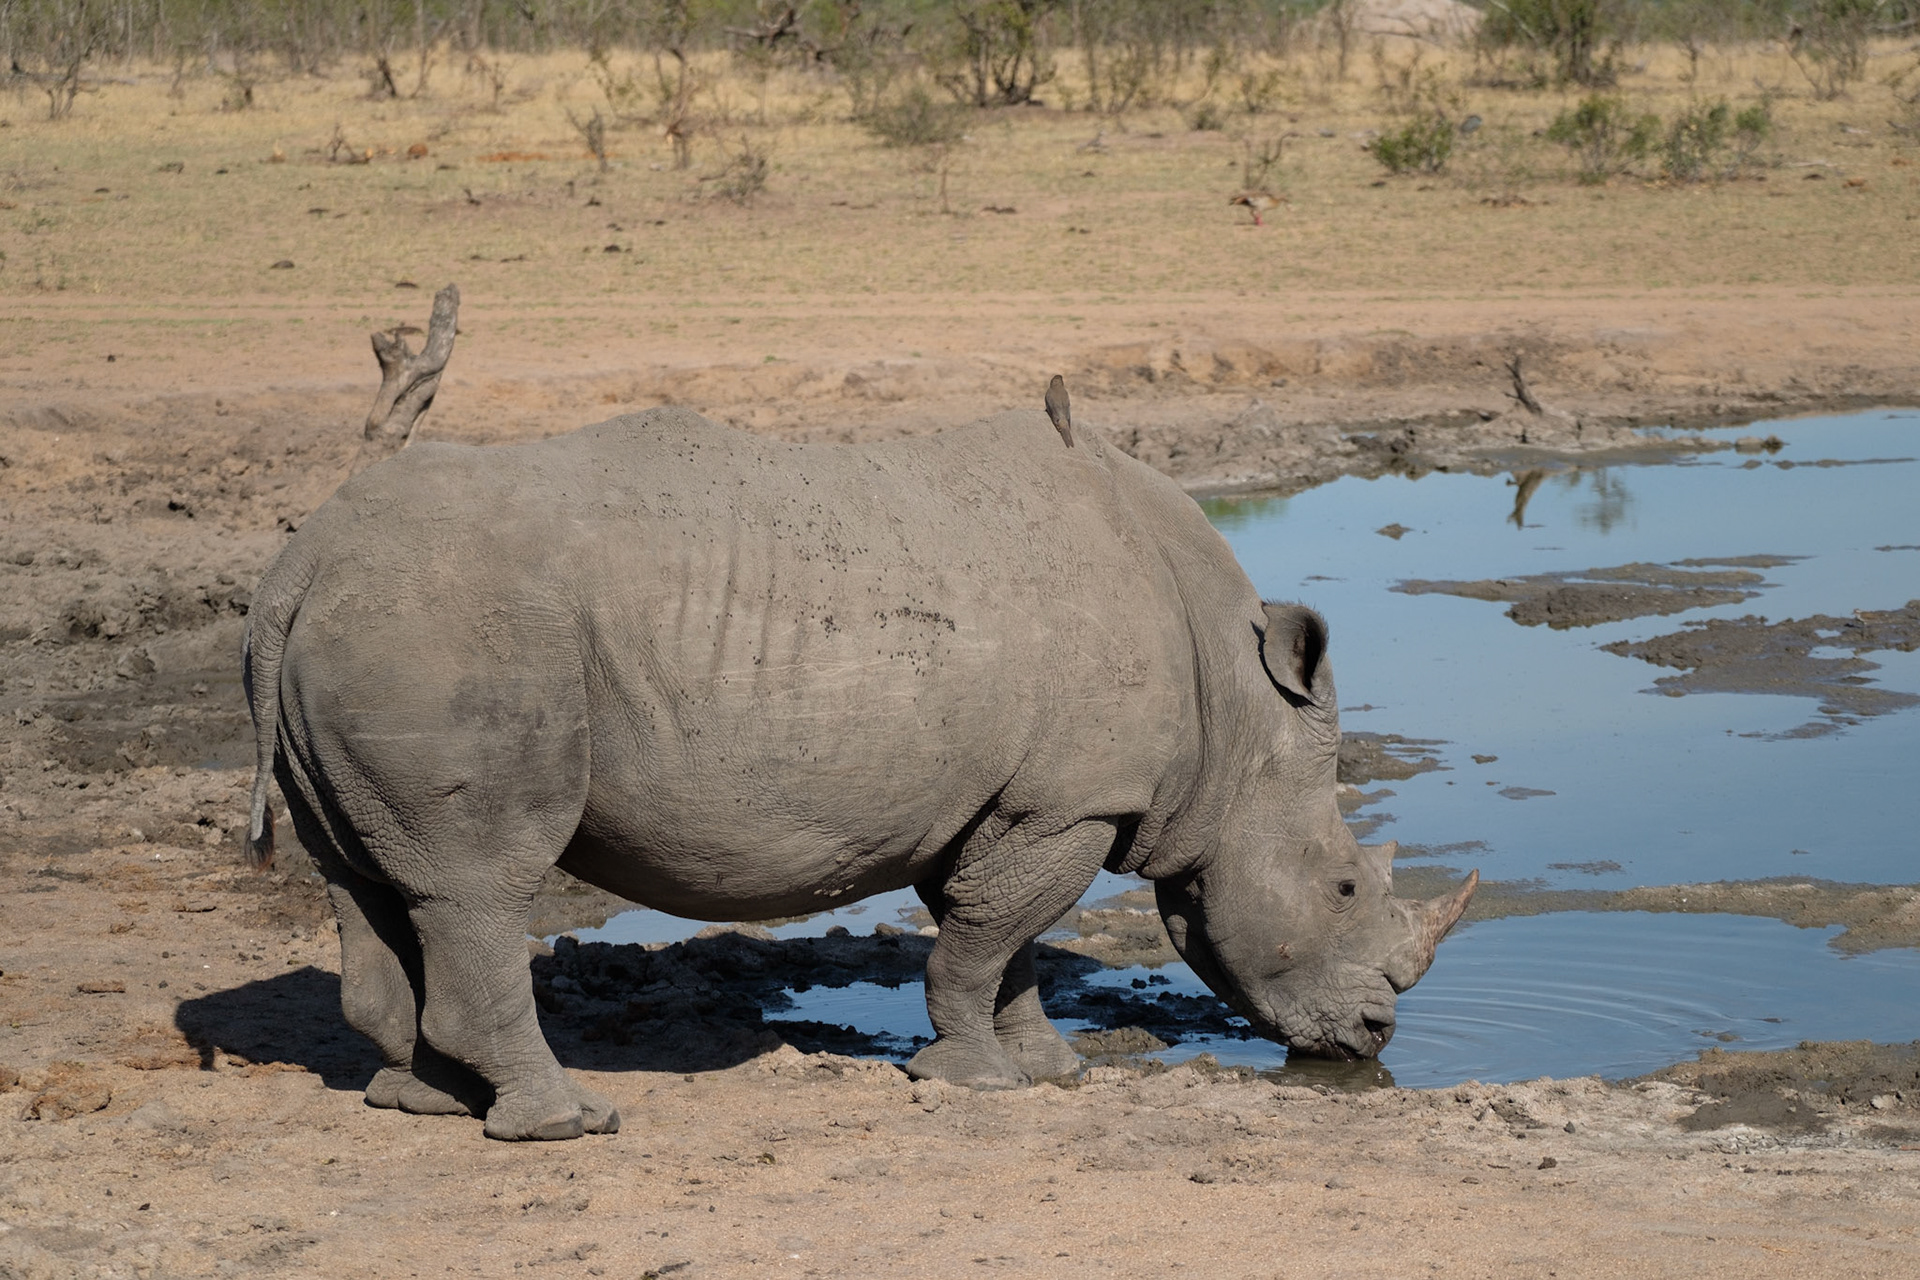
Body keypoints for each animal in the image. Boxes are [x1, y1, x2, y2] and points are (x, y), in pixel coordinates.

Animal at [242, 406, 1475, 1141]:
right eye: (1345, 888)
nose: (1375, 1035)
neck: (1239, 708)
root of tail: (299, 562)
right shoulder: (1065, 801)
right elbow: (986, 939)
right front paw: (975, 1083)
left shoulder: (1017, 803)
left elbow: (1009, 941)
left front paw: (1051, 1073)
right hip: (452, 633)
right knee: (482, 884)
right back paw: (566, 1122)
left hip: (373, 627)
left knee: (378, 879)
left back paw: (425, 1102)